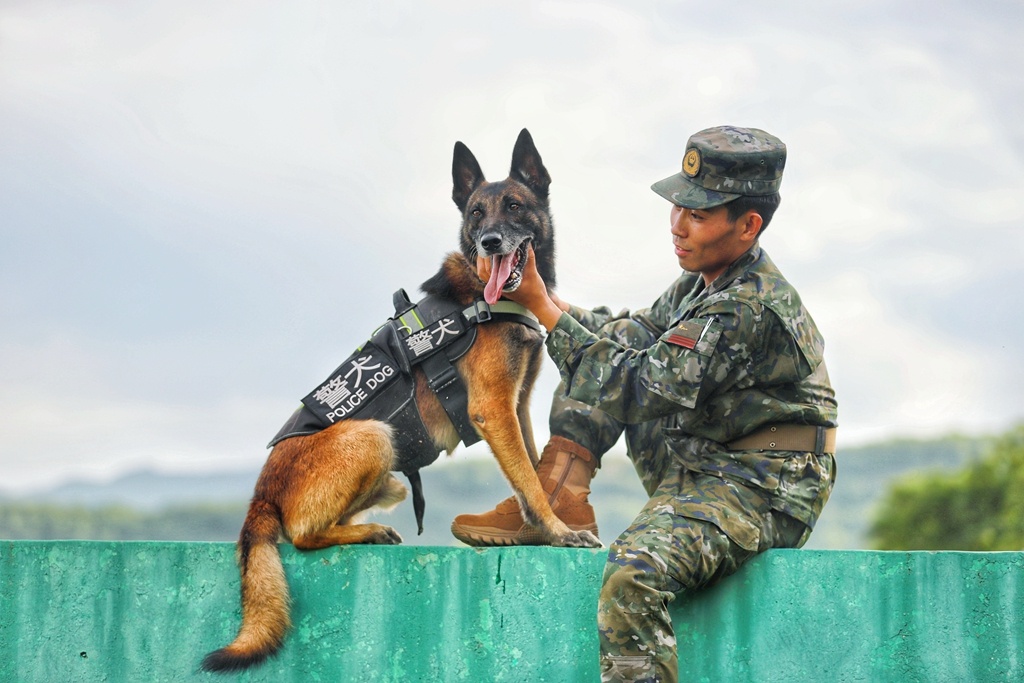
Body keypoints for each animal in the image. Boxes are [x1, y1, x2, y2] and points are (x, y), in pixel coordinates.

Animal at [199, 129, 598, 671]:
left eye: (514, 206)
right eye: (476, 213)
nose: (490, 242)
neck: (485, 296)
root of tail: (261, 492)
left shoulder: (517, 406)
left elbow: (531, 472)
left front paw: (536, 529)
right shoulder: (495, 409)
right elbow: (529, 481)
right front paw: (558, 532)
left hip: (390, 480)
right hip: (371, 435)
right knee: (301, 535)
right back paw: (366, 533)